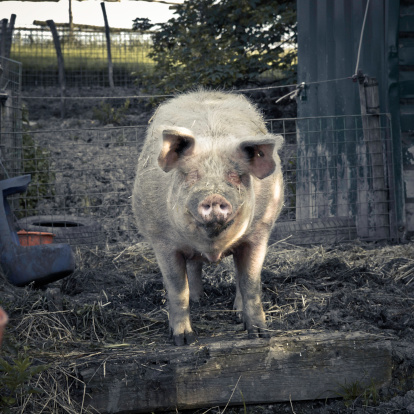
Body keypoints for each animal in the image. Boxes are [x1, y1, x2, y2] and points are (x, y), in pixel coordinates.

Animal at [133, 90, 284, 346]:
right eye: (192, 175)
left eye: (235, 175)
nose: (214, 195)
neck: (211, 246)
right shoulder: (161, 240)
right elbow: (177, 288)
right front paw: (183, 341)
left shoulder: (259, 232)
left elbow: (250, 282)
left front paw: (260, 336)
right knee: (193, 267)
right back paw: (198, 300)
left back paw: (236, 313)